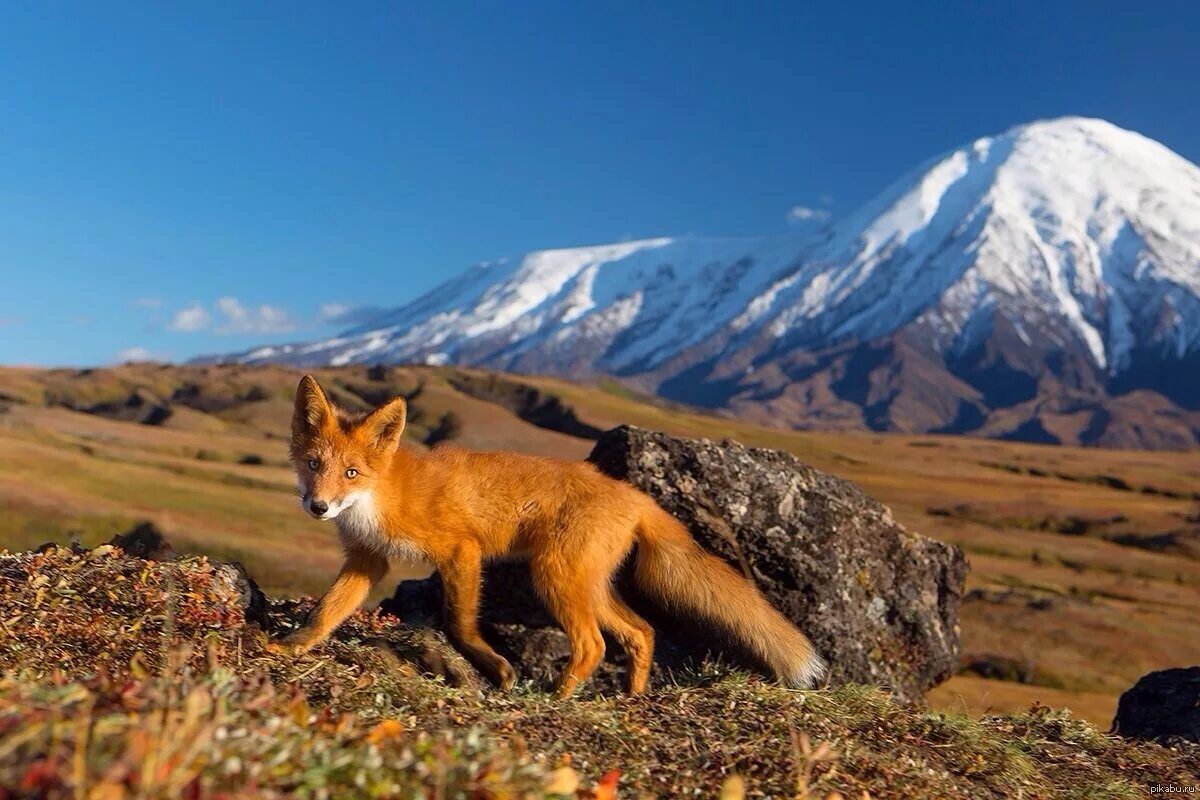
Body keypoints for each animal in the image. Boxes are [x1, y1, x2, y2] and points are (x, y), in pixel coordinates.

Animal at [274, 376, 825, 695]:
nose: (318, 506)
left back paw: (557, 699)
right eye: (314, 464)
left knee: (594, 646)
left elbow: (459, 625)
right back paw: (631, 698)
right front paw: (290, 648)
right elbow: (327, 612)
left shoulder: (461, 550)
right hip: (586, 585)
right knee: (640, 632)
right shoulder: (369, 560)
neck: (383, 496)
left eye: (351, 473)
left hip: (554, 578)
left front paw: (497, 669)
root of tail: (635, 496)